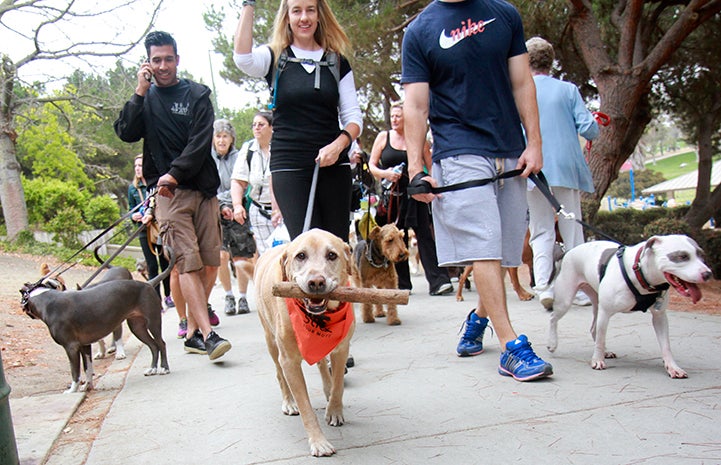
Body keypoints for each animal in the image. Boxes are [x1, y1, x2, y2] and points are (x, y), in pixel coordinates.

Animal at [253, 228, 354, 456]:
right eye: (301, 256)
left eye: (332, 255)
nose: (316, 282)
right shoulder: (289, 362)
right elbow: (306, 407)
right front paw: (318, 442)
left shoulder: (341, 349)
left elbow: (338, 384)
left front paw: (334, 410)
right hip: (271, 342)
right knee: (279, 374)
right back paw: (289, 402)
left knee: (322, 365)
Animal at [548, 236, 712, 376]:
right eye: (682, 256)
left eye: (701, 255)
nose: (708, 274)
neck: (640, 273)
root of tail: (567, 252)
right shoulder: (605, 312)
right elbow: (601, 339)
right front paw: (597, 360)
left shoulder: (659, 317)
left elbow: (666, 345)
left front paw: (673, 367)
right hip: (565, 300)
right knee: (553, 318)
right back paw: (553, 344)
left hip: (596, 303)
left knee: (594, 329)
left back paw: (606, 351)